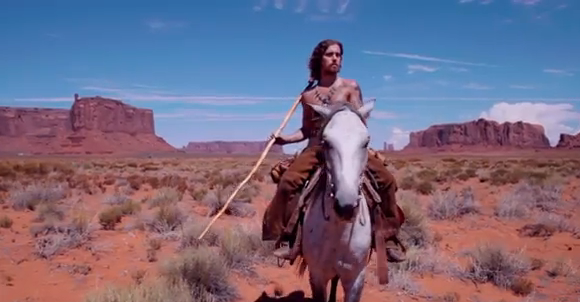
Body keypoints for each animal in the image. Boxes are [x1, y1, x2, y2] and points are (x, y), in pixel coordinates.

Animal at [296, 99, 374, 302]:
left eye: (366, 142)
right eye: (326, 142)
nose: (346, 207)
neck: (338, 231)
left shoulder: (356, 278)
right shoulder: (317, 275)